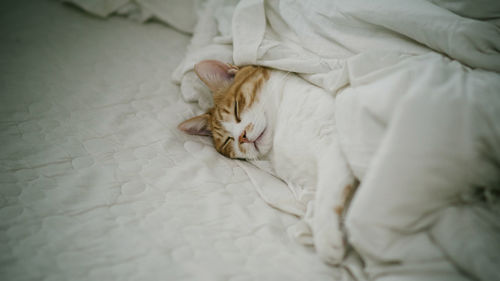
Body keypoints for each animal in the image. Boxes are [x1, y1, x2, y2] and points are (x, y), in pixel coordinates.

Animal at [178, 59, 358, 264]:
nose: (242, 137)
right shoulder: (308, 185)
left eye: (236, 108)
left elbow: (328, 195)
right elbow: (315, 200)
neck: (280, 130)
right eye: (227, 140)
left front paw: (326, 237)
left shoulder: (337, 144)